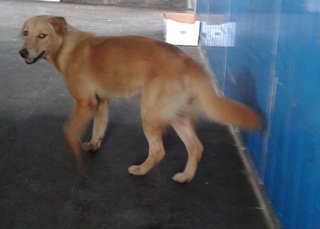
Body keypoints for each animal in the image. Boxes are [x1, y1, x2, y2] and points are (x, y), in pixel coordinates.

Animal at [19, 15, 260, 182]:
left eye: (42, 35)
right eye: (25, 33)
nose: (22, 53)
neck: (67, 48)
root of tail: (187, 62)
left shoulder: (84, 103)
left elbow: (68, 130)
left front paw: (78, 159)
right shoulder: (101, 102)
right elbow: (98, 128)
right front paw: (93, 145)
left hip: (150, 114)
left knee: (159, 151)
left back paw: (141, 170)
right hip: (176, 116)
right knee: (196, 147)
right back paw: (185, 177)